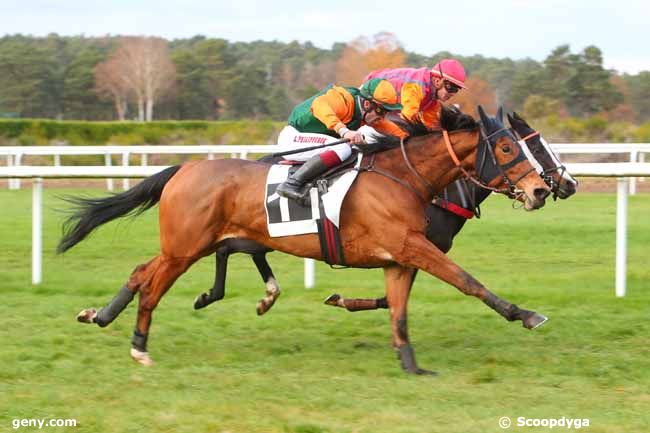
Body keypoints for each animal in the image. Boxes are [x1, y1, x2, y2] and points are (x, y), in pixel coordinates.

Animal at [59, 106, 548, 372]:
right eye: (509, 148)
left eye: (528, 147)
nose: (543, 189)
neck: (405, 177)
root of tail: (184, 168)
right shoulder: (412, 245)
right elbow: (467, 281)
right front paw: (525, 314)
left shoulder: (401, 254)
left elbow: (401, 303)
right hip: (184, 247)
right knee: (152, 286)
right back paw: (138, 346)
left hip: (189, 244)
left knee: (142, 271)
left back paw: (100, 315)